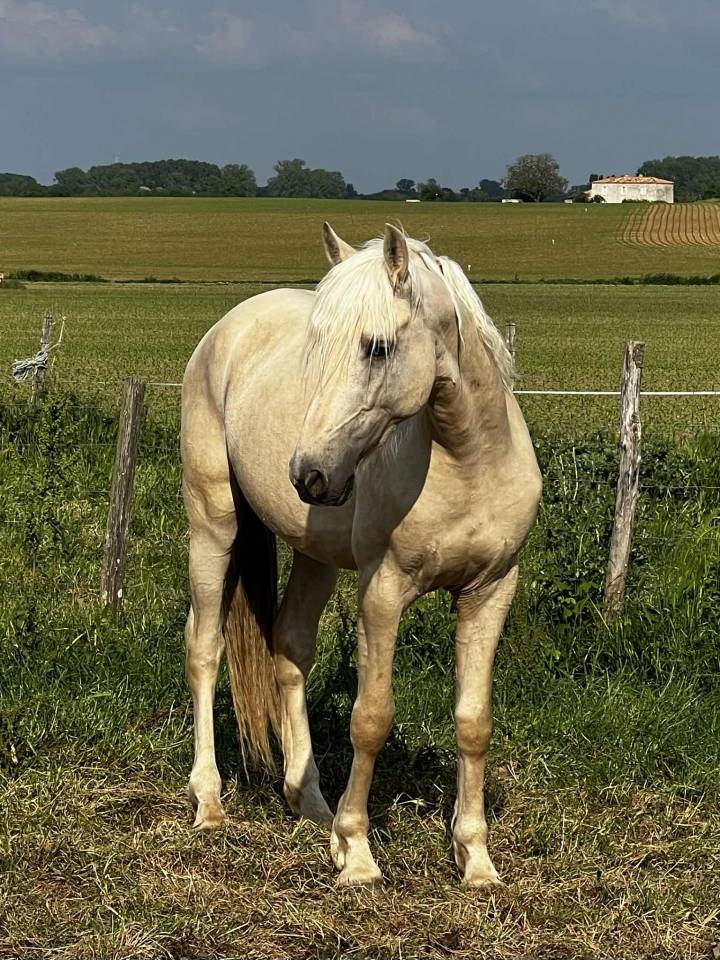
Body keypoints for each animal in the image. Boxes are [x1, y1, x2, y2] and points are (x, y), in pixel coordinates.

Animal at [181, 223, 541, 886]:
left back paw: (310, 802)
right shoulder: (383, 592)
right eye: (318, 346)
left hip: (315, 555)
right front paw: (357, 853)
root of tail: (229, 327)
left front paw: (476, 860)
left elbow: (474, 722)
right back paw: (211, 803)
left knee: (290, 647)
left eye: (376, 347)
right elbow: (370, 718)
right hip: (212, 524)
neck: (466, 461)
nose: (308, 473)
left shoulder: (490, 591)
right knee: (204, 647)